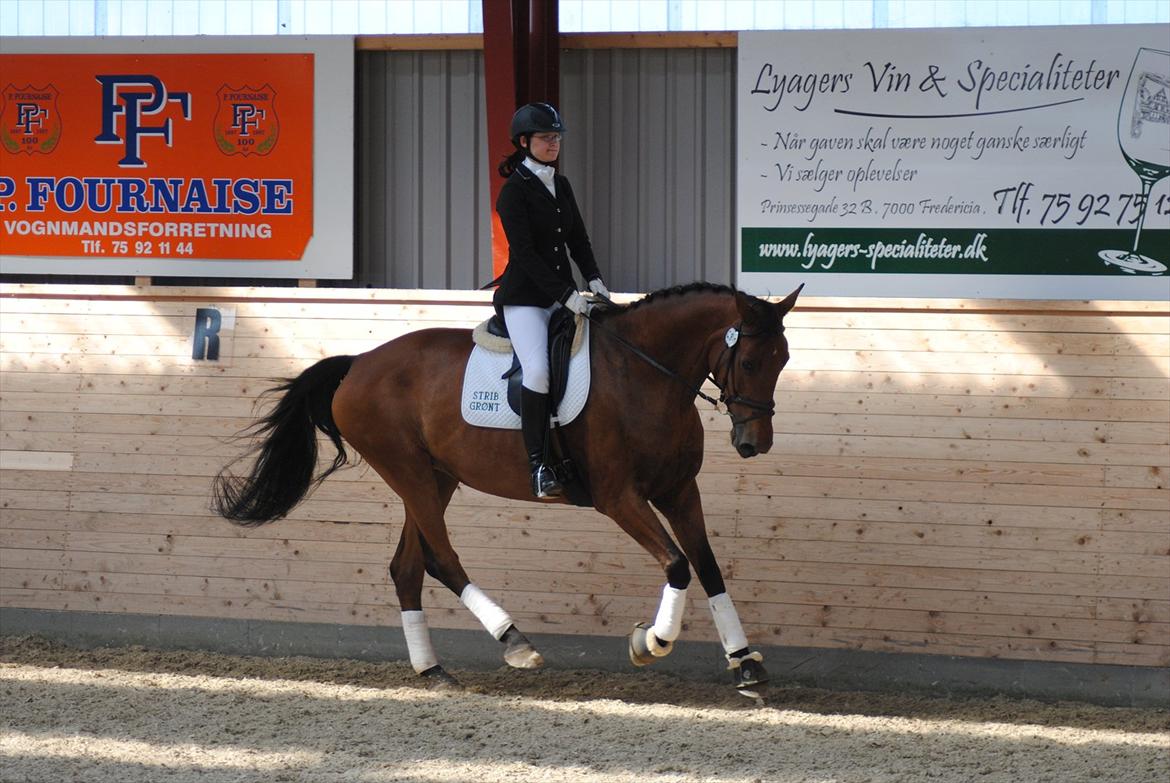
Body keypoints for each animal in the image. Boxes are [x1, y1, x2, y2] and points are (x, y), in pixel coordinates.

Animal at [212, 282, 804, 697]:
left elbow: (708, 567)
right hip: (409, 471)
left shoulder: (680, 491)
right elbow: (678, 565)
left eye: (784, 361)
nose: (753, 443)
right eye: (751, 360)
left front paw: (745, 664)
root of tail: (357, 365)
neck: (644, 375)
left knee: (407, 566)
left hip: (436, 477)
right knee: (440, 558)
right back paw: (514, 642)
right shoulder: (618, 499)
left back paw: (433, 670)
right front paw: (650, 641)